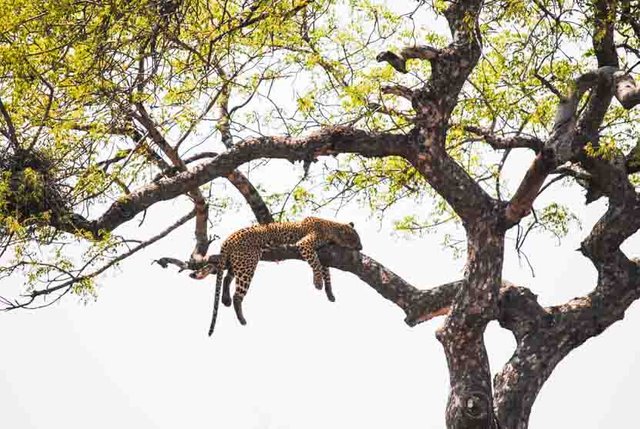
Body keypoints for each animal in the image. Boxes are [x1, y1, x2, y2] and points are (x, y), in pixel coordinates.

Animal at [192, 217, 362, 334]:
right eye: (355, 238)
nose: (361, 247)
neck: (331, 228)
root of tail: (228, 239)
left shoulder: (325, 254)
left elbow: (326, 272)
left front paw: (329, 293)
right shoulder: (305, 244)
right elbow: (315, 264)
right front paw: (318, 283)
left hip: (238, 261)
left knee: (227, 278)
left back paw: (226, 300)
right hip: (248, 262)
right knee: (238, 294)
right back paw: (241, 318)